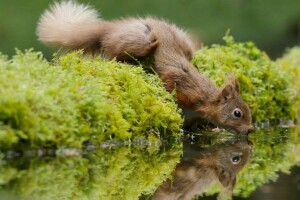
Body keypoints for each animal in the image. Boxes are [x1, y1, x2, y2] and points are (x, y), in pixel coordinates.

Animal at [37, 0, 253, 134]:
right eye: (237, 113)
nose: (251, 129)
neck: (205, 99)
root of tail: (114, 27)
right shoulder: (182, 81)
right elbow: (169, 81)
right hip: (143, 41)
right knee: (114, 53)